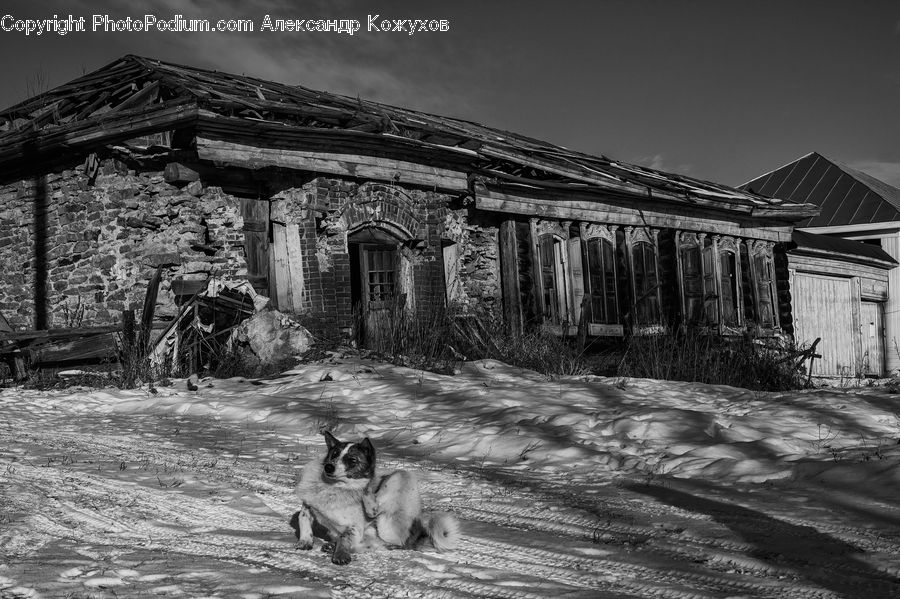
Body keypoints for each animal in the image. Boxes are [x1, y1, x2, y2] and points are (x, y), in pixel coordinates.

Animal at [292, 434, 460, 564]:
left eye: (352, 460)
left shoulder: (354, 528)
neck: (334, 488)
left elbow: (345, 537)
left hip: (399, 478)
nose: (328, 467)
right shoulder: (309, 505)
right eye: (334, 454)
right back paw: (331, 545)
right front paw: (305, 542)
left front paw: (340, 554)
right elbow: (303, 518)